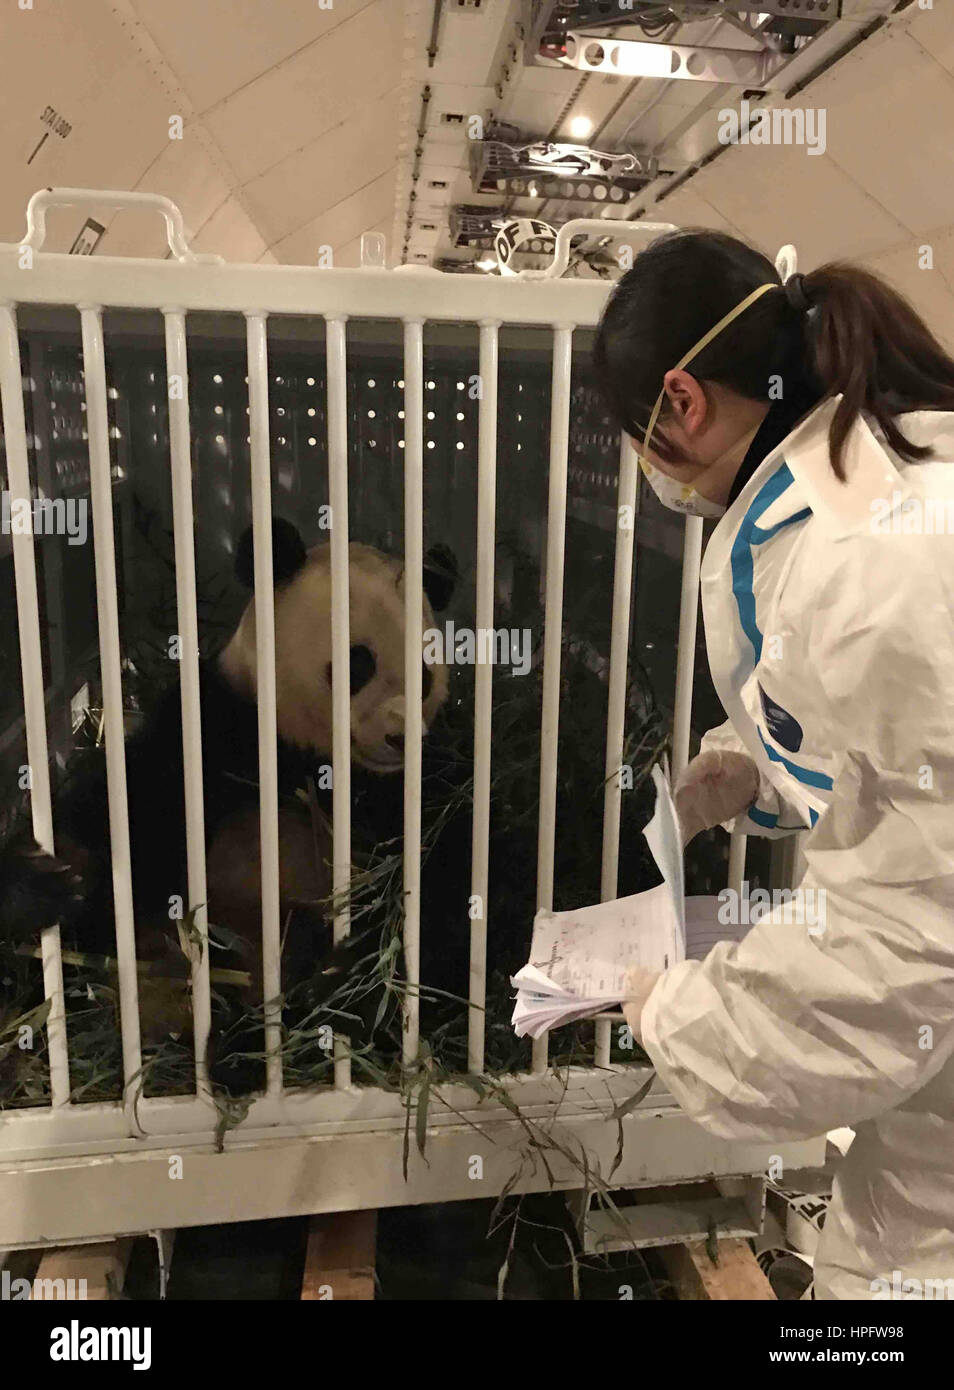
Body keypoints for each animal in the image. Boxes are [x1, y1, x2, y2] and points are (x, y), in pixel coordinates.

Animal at [0, 522, 458, 1073]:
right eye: (356, 665)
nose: (400, 736)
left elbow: (434, 881)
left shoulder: (412, 788)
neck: (307, 756)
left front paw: (359, 977)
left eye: (426, 675)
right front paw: (38, 880)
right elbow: (125, 811)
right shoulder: (212, 727)